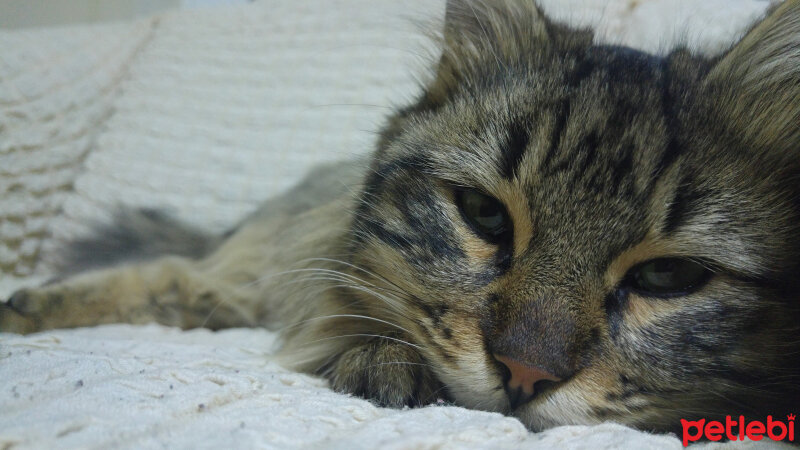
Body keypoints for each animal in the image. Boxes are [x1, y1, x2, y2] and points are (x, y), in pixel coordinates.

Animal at [1, 0, 800, 438]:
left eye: (667, 276)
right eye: (483, 215)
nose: (524, 374)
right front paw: (383, 361)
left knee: (186, 286)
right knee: (169, 270)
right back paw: (26, 306)